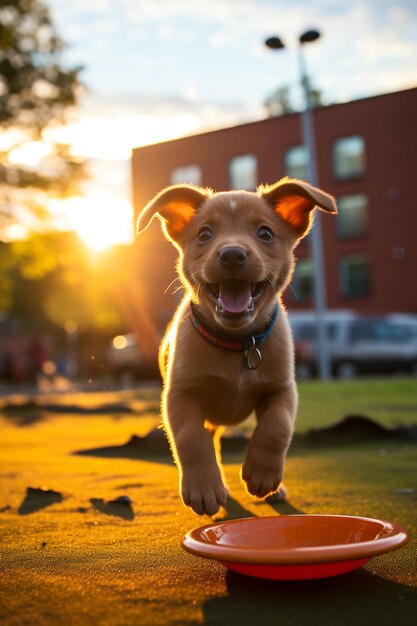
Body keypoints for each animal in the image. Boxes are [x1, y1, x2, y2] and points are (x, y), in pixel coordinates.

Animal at [138, 178, 336, 516]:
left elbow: (277, 426)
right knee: (209, 437)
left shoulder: (282, 389)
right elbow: (191, 438)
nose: (232, 254)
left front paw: (263, 474)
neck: (238, 343)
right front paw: (203, 488)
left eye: (265, 233)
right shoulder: (180, 395)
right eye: (204, 234)